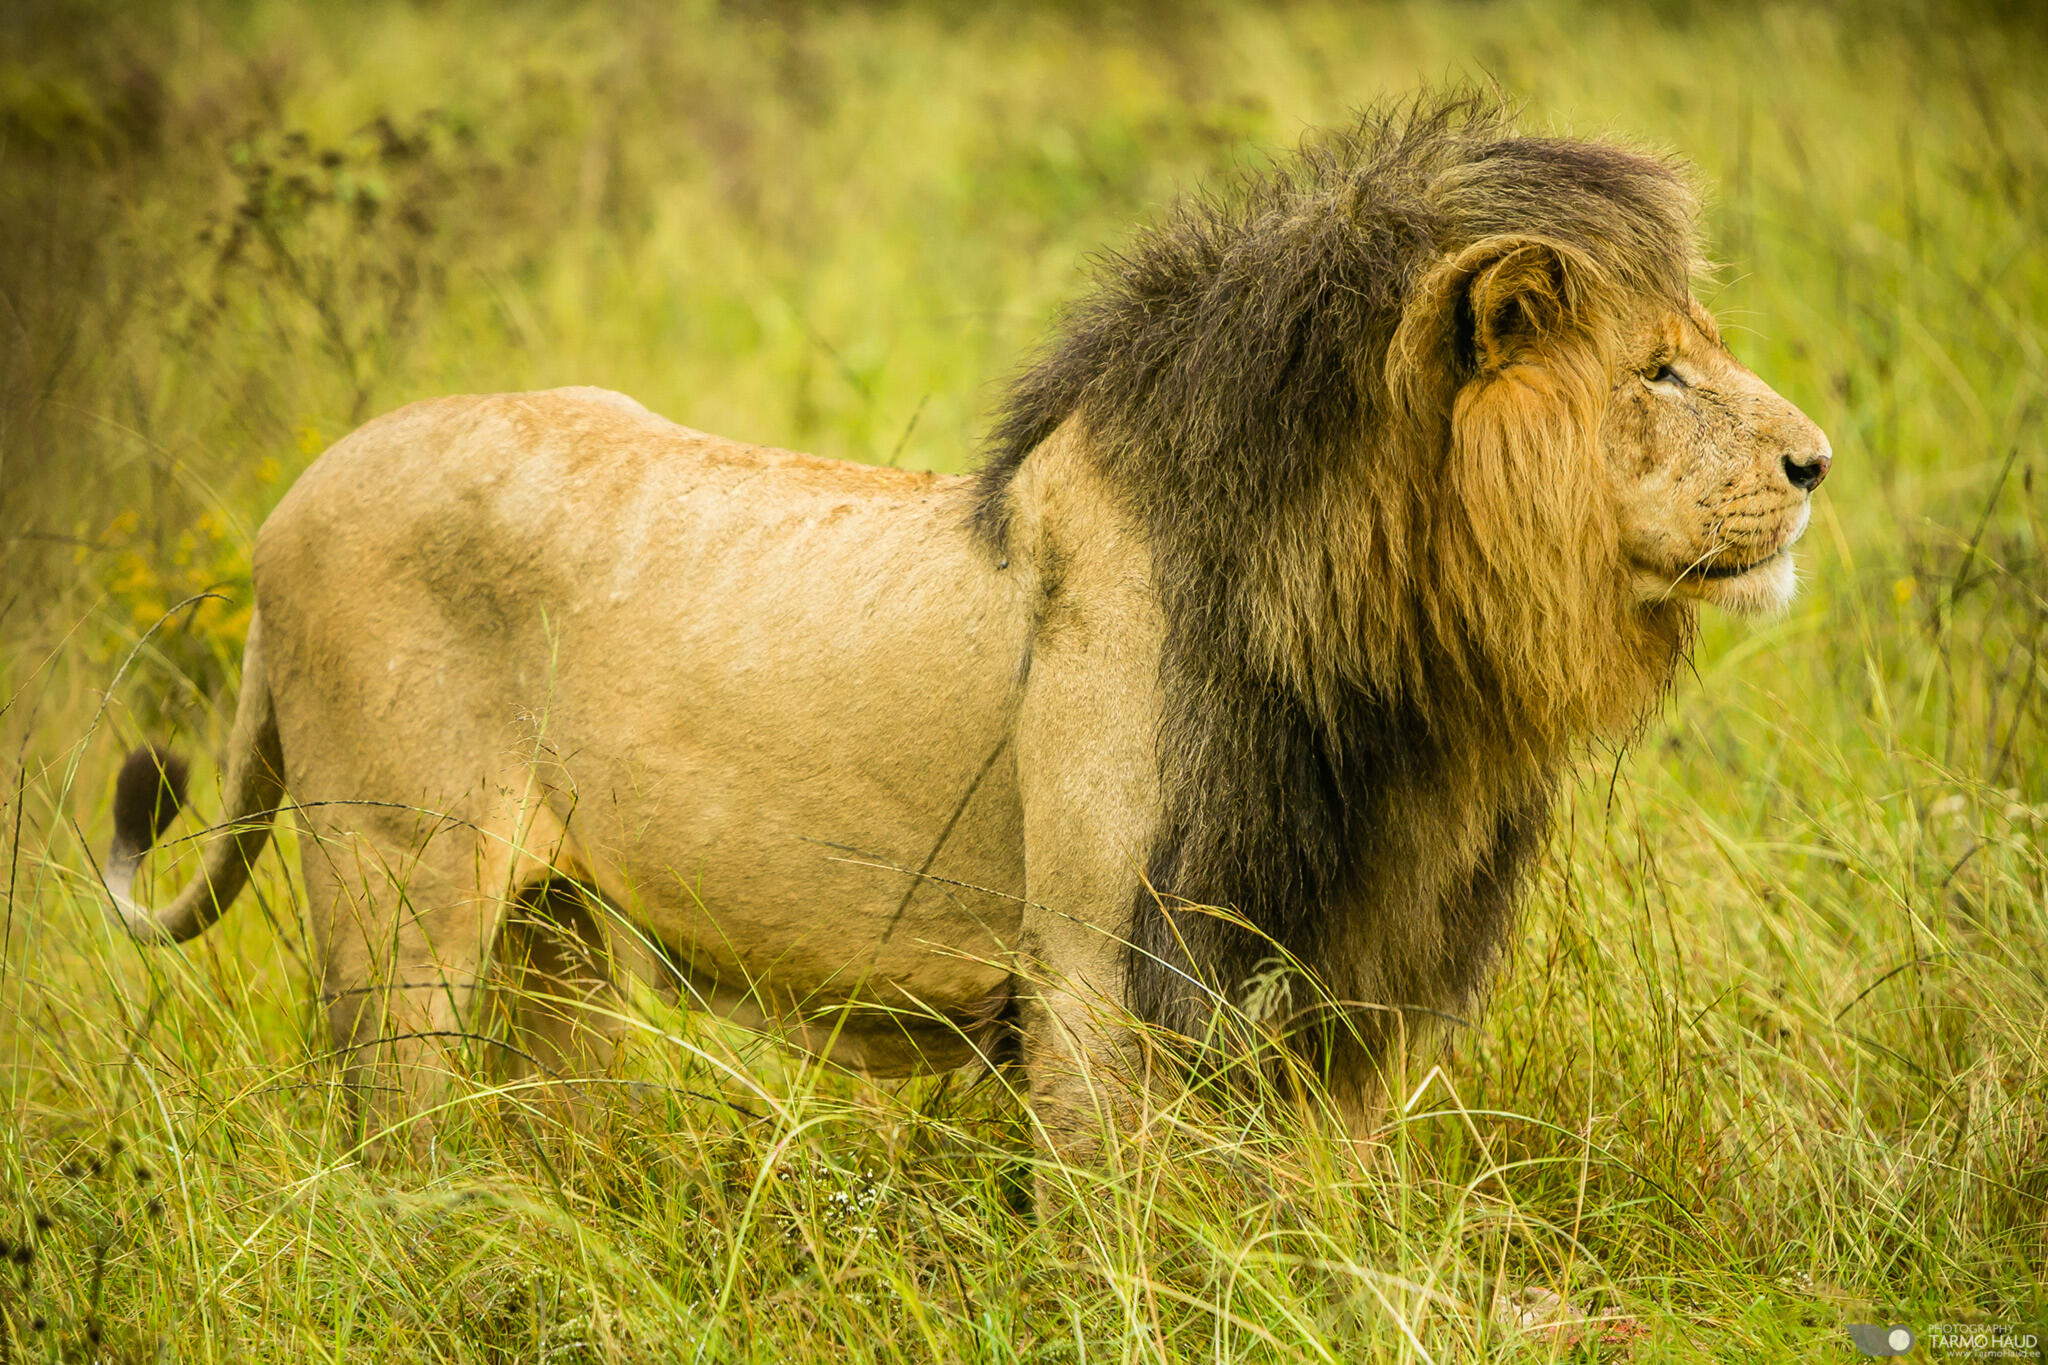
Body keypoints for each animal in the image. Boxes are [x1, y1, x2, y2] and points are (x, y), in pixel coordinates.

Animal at [103, 96, 1829, 1161]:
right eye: (1659, 373)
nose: (1818, 464)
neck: (1402, 673)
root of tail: (290, 500)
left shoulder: (1343, 975)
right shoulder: (1102, 976)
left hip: (551, 944)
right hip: (399, 901)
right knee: (392, 1150)